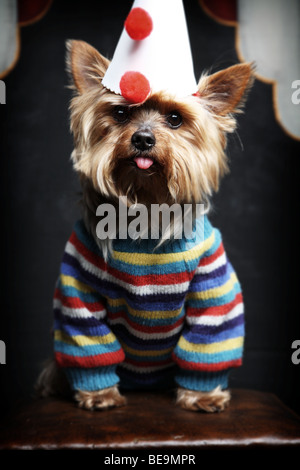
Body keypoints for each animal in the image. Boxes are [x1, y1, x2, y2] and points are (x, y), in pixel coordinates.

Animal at [36, 39, 254, 412]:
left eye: (175, 119)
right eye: (121, 114)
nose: (142, 139)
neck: (146, 208)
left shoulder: (212, 284)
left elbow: (208, 337)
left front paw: (202, 395)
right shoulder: (78, 281)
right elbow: (88, 340)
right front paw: (100, 394)